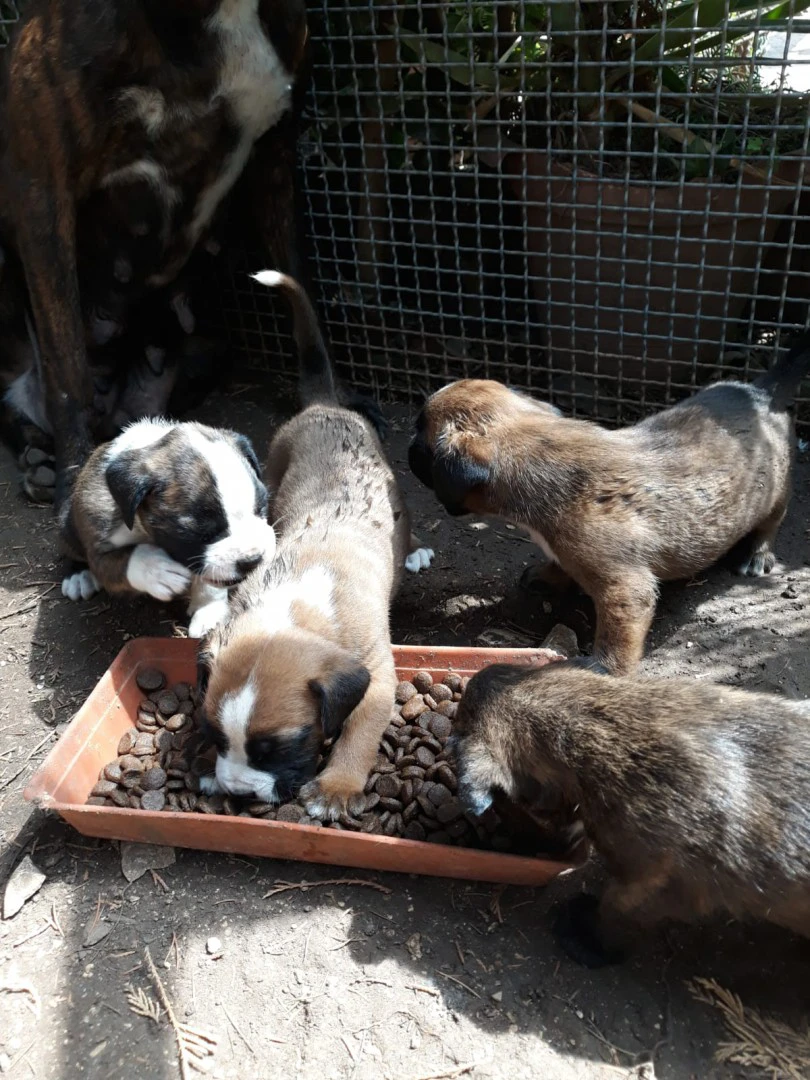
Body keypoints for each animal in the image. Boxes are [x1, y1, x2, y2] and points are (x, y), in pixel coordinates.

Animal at [58, 416, 278, 635]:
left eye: (261, 508)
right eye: (200, 532)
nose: (252, 560)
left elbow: (211, 580)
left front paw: (208, 610)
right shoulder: (99, 555)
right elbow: (130, 558)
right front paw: (157, 569)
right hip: (69, 529)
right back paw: (78, 576)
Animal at [197, 272, 434, 816]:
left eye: (279, 747)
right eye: (216, 737)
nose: (238, 794)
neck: (292, 606)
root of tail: (324, 406)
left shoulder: (376, 678)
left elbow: (360, 731)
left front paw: (336, 787)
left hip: (395, 489)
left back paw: (412, 551)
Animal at [412, 341, 810, 669]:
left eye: (420, 433)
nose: (407, 449)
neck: (541, 447)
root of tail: (761, 391)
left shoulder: (625, 590)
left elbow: (617, 636)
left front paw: (604, 668)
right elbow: (558, 564)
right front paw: (547, 576)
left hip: (776, 491)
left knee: (771, 522)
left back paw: (757, 556)